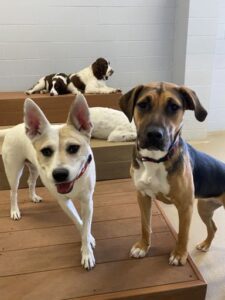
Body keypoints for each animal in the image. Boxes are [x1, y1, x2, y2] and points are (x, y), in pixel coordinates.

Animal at [0, 94, 95, 270]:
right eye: (46, 151)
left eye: (73, 148)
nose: (59, 174)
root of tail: (12, 129)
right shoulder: (64, 202)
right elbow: (78, 222)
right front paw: (87, 248)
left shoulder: (87, 202)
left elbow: (85, 225)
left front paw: (87, 244)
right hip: (14, 171)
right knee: (13, 192)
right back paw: (15, 210)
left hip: (35, 168)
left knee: (30, 181)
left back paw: (33, 197)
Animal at [118, 81, 224, 264]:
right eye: (143, 104)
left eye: (174, 107)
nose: (154, 134)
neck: (155, 159)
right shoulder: (142, 196)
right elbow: (145, 225)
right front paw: (143, 247)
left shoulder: (185, 206)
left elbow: (183, 233)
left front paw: (179, 254)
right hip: (204, 208)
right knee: (213, 227)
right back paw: (205, 244)